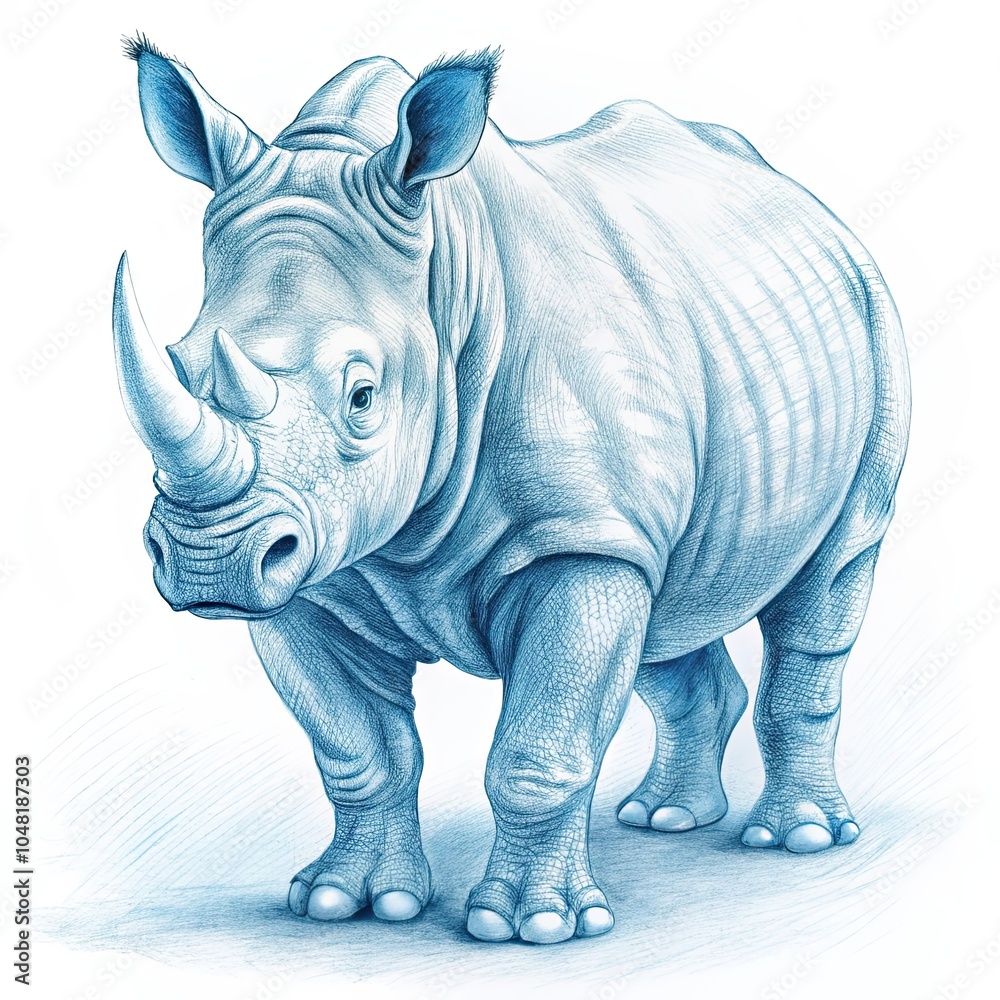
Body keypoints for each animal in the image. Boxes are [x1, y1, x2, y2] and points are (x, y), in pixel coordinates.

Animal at [112, 35, 910, 944]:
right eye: (180, 360)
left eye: (363, 396)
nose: (206, 562)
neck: (440, 280)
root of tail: (812, 207)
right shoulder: (312, 562)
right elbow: (359, 749)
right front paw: (347, 903)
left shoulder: (578, 539)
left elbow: (538, 749)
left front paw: (534, 927)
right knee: (670, 603)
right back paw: (666, 820)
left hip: (872, 321)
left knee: (831, 571)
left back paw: (798, 838)